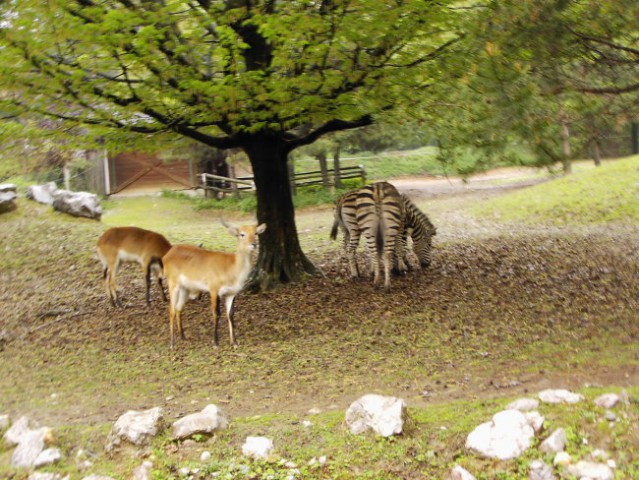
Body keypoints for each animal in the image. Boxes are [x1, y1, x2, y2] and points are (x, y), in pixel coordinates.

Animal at [165, 220, 268, 348]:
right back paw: (172, 344)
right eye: (242, 234)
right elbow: (216, 314)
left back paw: (183, 337)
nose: (253, 244)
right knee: (171, 310)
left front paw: (234, 343)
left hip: (185, 288)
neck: (231, 268)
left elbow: (231, 315)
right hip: (173, 284)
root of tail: (168, 253)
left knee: (179, 308)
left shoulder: (231, 293)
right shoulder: (214, 290)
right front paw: (215, 343)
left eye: (255, 233)